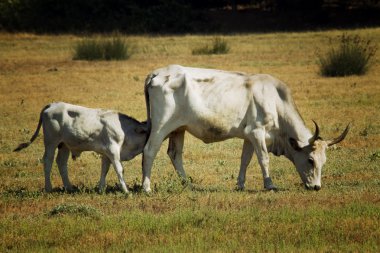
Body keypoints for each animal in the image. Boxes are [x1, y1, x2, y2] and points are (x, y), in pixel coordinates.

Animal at [13, 102, 148, 193]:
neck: (125, 130)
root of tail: (52, 104)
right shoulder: (113, 150)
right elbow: (119, 169)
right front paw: (126, 191)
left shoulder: (106, 153)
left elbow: (104, 170)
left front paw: (101, 189)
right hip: (51, 142)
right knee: (48, 161)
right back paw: (48, 188)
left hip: (64, 145)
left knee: (61, 162)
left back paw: (69, 187)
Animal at [142, 64, 350, 192]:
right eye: (310, 160)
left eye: (323, 161)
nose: (316, 187)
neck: (275, 100)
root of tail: (157, 73)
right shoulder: (257, 132)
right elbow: (263, 159)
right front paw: (269, 184)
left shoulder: (249, 137)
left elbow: (245, 160)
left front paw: (240, 184)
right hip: (161, 126)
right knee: (149, 151)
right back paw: (146, 187)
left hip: (179, 128)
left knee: (175, 154)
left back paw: (188, 185)